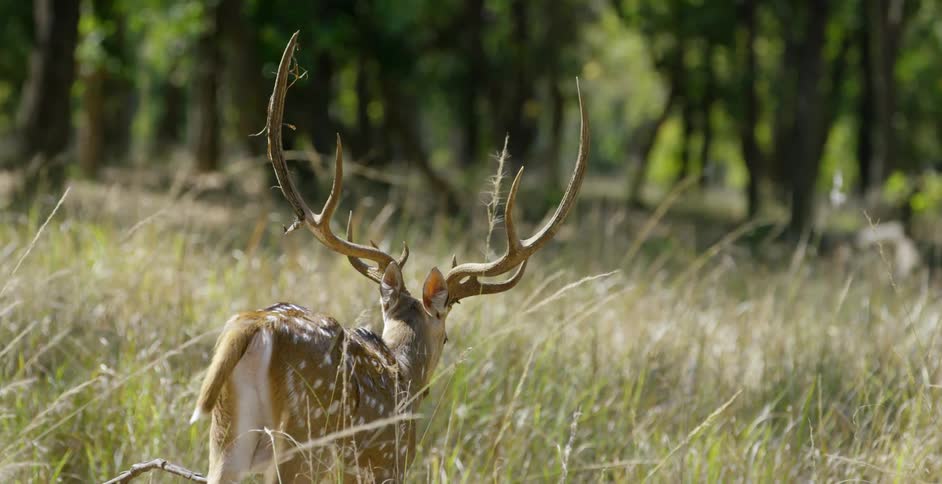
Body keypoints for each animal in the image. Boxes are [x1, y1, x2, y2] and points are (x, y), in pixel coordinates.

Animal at [189, 31, 590, 483]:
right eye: (447, 335)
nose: (427, 388)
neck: (401, 373)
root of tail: (254, 325)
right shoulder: (389, 464)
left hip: (226, 436)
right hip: (302, 438)